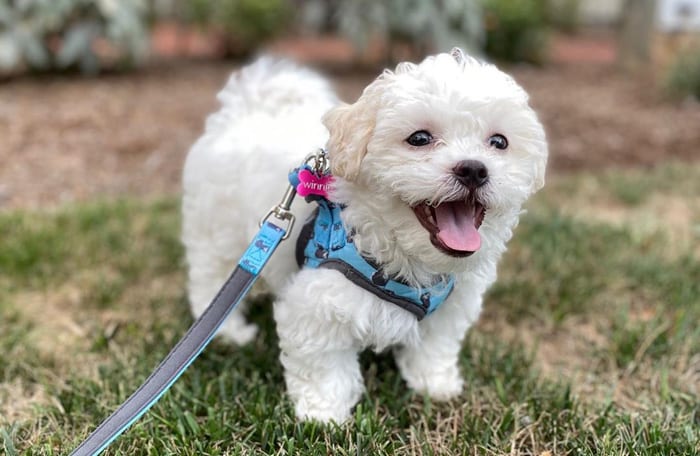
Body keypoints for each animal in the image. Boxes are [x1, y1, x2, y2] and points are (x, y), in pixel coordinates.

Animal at [180, 48, 548, 422]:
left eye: (499, 142)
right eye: (419, 138)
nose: (474, 169)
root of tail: (245, 111)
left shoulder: (454, 303)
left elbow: (435, 346)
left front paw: (436, 385)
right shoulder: (317, 302)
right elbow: (323, 365)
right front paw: (322, 415)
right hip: (217, 232)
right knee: (211, 280)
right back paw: (229, 332)